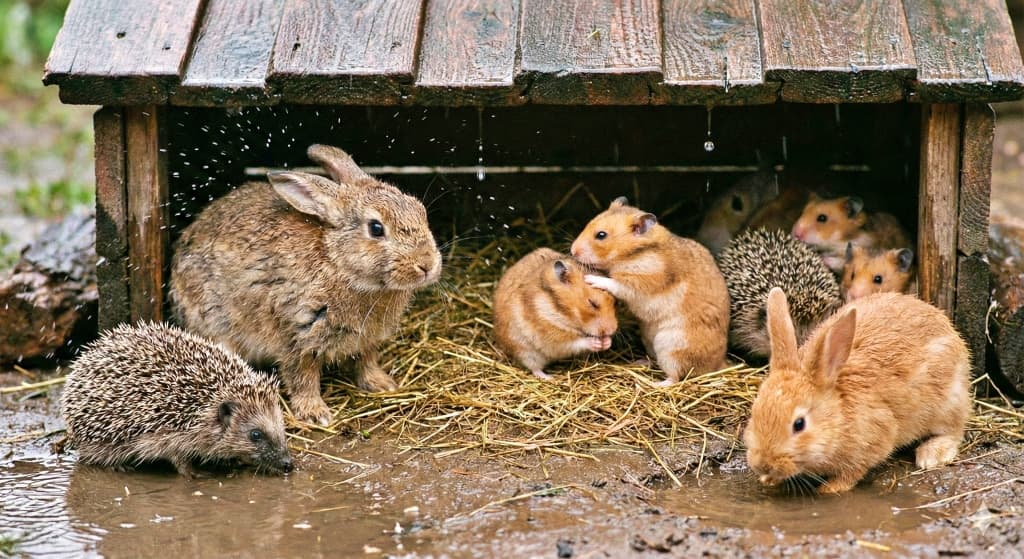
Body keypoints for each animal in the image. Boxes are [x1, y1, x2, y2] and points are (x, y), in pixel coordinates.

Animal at [170, 144, 442, 426]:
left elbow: (366, 362)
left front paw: (382, 384)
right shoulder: (295, 334)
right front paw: (315, 414)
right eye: (376, 228)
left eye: (420, 210)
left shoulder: (368, 339)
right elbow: (302, 378)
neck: (337, 262)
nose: (427, 265)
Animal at [744, 287, 971, 494]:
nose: (762, 464)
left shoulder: (873, 439)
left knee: (954, 430)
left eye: (799, 424)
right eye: (754, 412)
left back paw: (932, 454)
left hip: (948, 402)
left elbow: (853, 471)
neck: (838, 415)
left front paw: (829, 489)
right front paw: (769, 480)